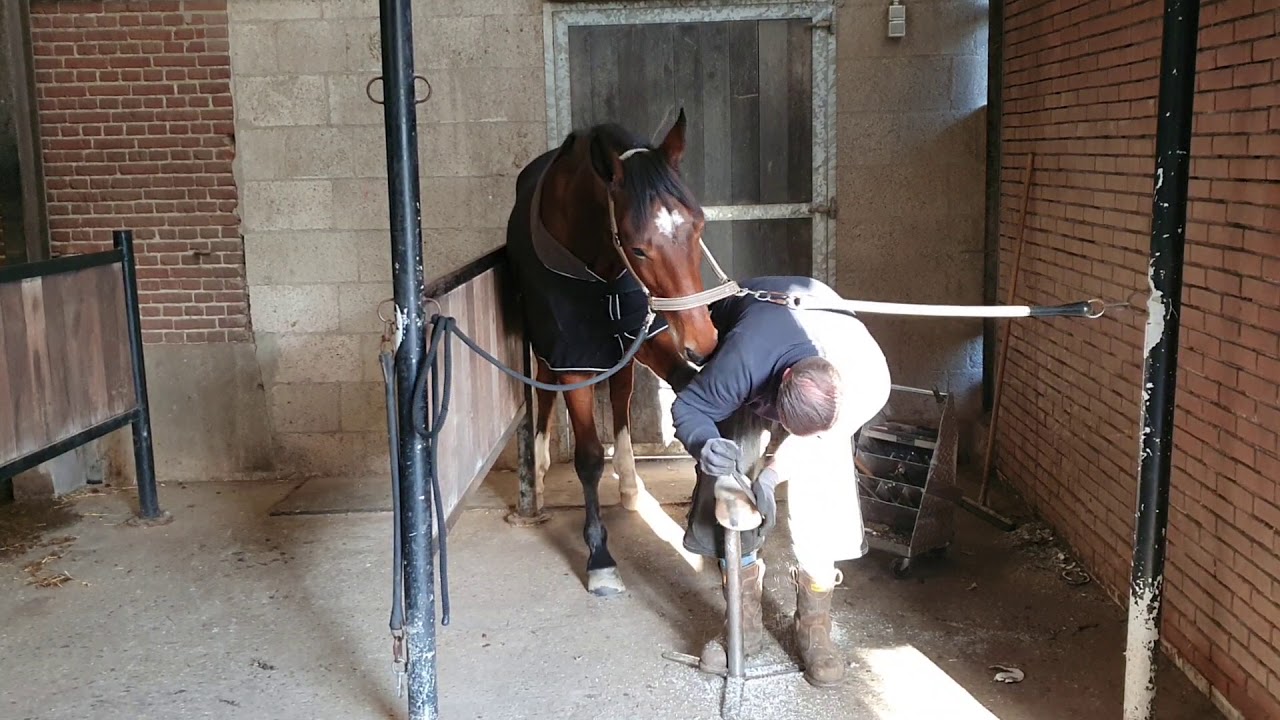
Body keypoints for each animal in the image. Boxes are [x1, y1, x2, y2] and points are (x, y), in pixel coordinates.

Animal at [504, 110, 727, 596]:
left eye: (698, 226)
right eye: (637, 245)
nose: (703, 340)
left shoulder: (649, 339)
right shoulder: (573, 360)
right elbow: (588, 457)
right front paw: (600, 558)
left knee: (622, 400)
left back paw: (628, 484)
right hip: (552, 350)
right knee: (544, 391)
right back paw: (541, 470)